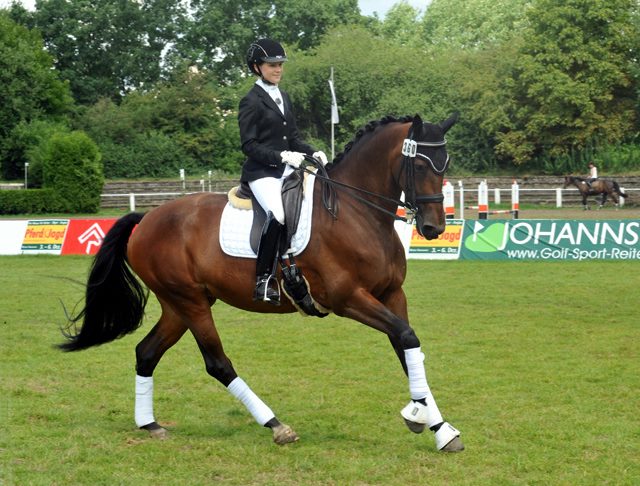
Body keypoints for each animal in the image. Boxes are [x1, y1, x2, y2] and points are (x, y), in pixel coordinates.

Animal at [58, 113, 464, 452]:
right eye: (420, 164)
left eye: (445, 164)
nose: (434, 228)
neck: (356, 212)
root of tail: (146, 219)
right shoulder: (348, 298)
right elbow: (406, 338)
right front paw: (419, 416)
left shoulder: (392, 294)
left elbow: (406, 345)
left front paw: (438, 427)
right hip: (190, 302)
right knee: (217, 364)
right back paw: (276, 426)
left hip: (180, 304)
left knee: (146, 352)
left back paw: (150, 424)